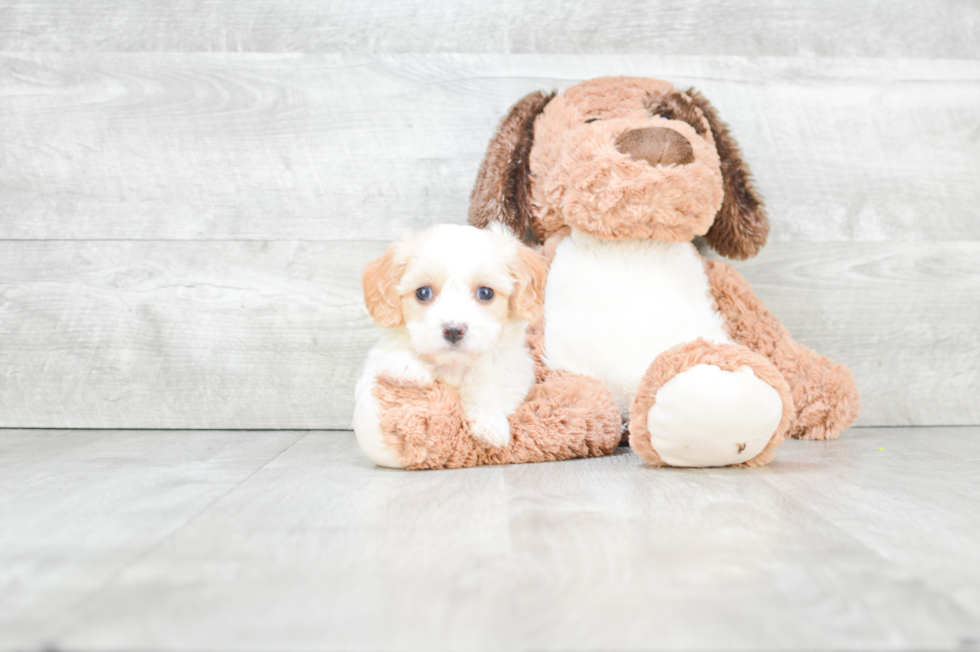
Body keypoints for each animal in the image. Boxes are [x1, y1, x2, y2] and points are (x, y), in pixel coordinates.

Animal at [354, 224, 552, 468]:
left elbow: (484, 386)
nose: (453, 330)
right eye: (423, 292)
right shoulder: (368, 376)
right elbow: (392, 356)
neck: (452, 365)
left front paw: (490, 422)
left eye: (485, 293)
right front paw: (407, 367)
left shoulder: (514, 378)